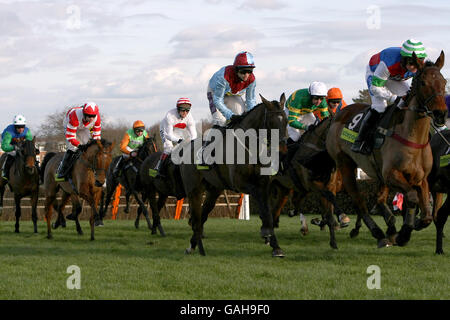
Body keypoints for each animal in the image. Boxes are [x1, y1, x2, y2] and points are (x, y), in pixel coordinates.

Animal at [179, 93, 288, 258]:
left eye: (286, 121)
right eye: (272, 122)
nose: (282, 149)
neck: (251, 146)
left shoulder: (263, 184)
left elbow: (267, 211)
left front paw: (275, 245)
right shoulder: (241, 183)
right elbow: (262, 206)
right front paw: (266, 233)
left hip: (214, 190)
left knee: (204, 213)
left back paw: (193, 245)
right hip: (194, 191)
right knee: (197, 218)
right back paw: (196, 246)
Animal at [326, 51, 446, 249]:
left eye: (443, 82)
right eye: (423, 83)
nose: (441, 114)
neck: (412, 138)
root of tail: (338, 114)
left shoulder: (421, 178)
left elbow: (427, 215)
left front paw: (411, 226)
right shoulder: (391, 174)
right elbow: (412, 197)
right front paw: (403, 234)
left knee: (377, 198)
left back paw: (388, 227)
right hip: (345, 165)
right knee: (359, 201)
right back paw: (378, 232)